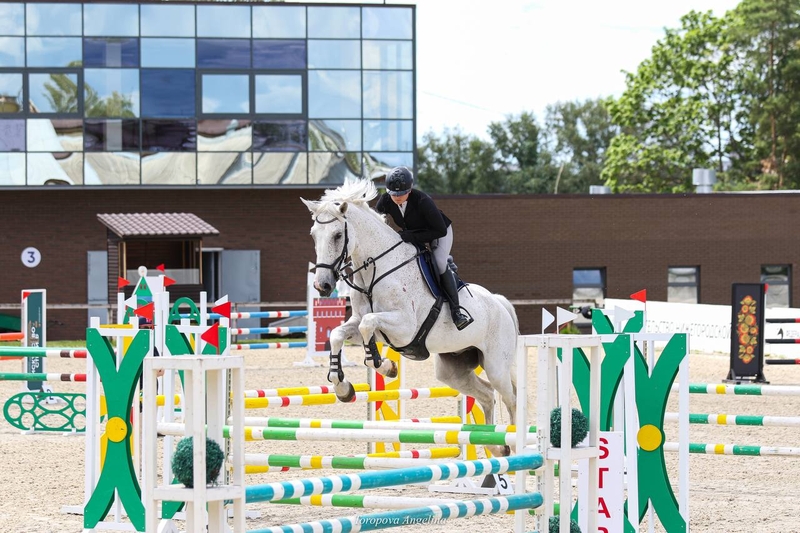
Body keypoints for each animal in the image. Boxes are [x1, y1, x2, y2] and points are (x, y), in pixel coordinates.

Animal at [304, 177, 520, 442]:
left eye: (336, 235)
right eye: (314, 235)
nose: (322, 286)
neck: (374, 270)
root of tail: (500, 302)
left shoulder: (404, 328)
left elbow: (368, 326)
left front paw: (385, 366)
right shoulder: (364, 324)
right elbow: (338, 334)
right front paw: (343, 387)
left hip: (496, 365)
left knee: (511, 400)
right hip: (453, 370)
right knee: (487, 394)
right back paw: (496, 447)